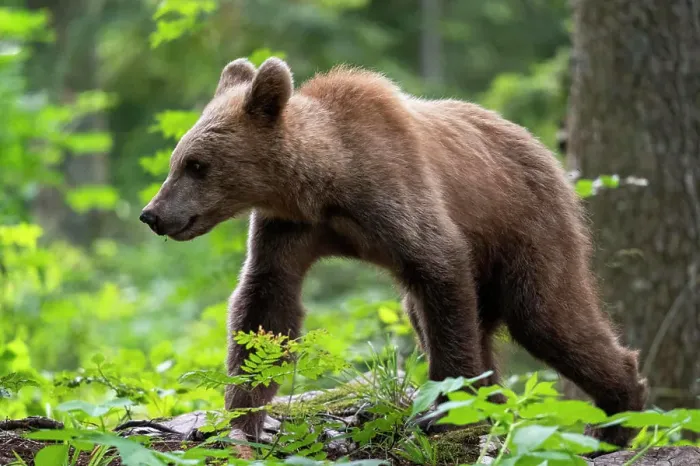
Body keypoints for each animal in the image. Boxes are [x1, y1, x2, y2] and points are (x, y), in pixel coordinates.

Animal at [140, 57, 648, 448]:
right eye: (177, 160)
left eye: (197, 165)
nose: (153, 214)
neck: (326, 182)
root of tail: (546, 151)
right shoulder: (288, 230)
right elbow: (265, 308)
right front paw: (239, 422)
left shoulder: (397, 194)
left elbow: (440, 272)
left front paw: (446, 414)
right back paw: (501, 404)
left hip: (527, 226)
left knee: (546, 315)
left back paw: (616, 418)